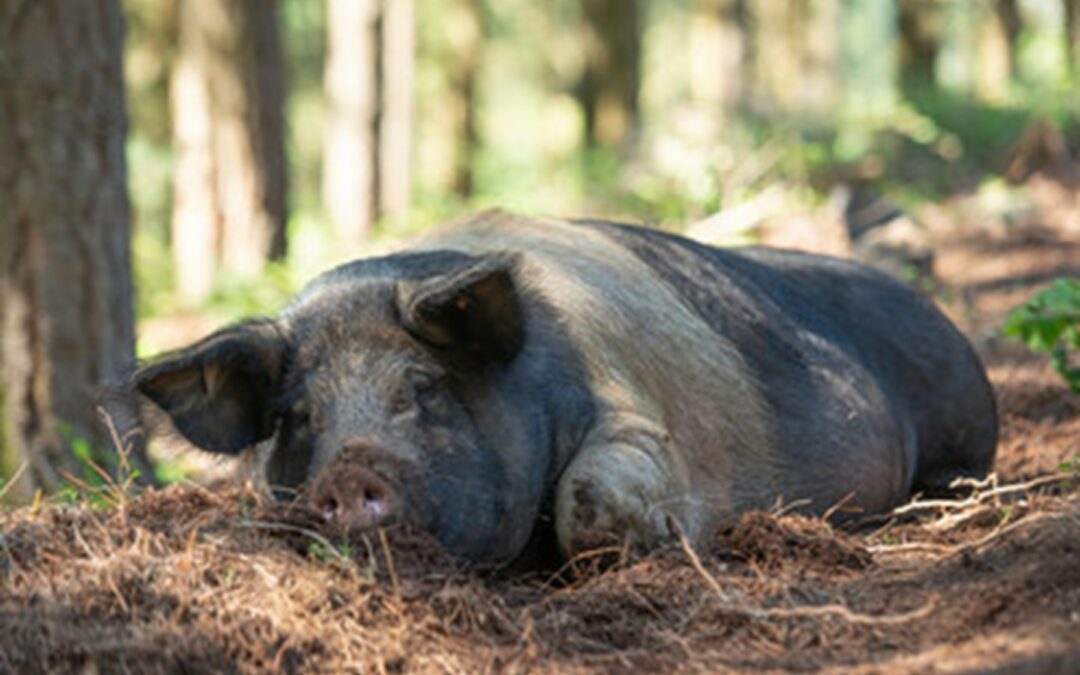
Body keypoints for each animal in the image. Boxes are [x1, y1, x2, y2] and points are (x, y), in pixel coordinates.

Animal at [135, 211, 993, 561]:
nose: (348, 472)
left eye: (423, 386)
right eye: (298, 417)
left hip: (965, 431)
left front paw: (664, 541)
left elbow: (593, 496)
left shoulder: (641, 415)